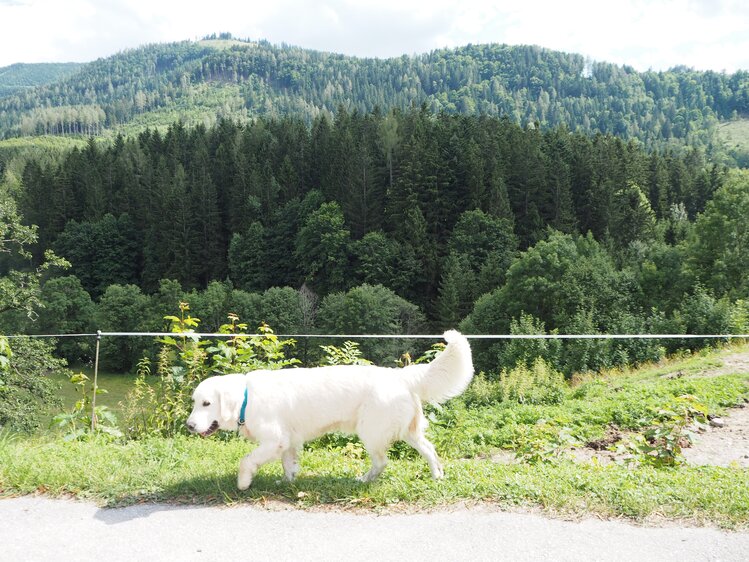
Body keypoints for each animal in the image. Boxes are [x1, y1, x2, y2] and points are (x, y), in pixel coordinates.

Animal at [184, 328, 470, 486]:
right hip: (407, 430)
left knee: (382, 461)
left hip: (371, 431)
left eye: (207, 403)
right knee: (429, 450)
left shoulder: (274, 440)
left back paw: (363, 481)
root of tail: (400, 375)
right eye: (194, 402)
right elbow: (288, 465)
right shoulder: (288, 441)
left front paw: (243, 483)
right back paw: (437, 476)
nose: (189, 425)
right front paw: (286, 482)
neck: (247, 398)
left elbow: (246, 461)